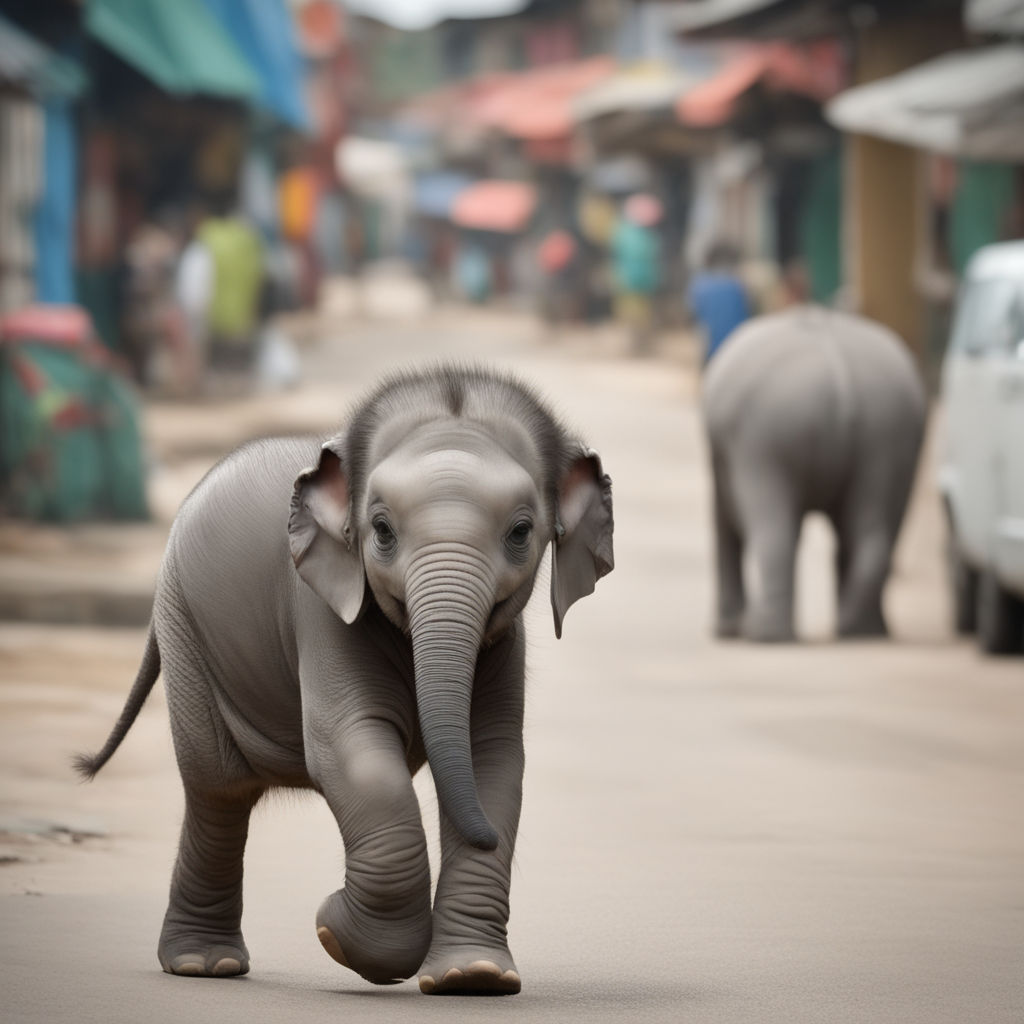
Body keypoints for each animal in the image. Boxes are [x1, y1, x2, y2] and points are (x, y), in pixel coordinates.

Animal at [77, 366, 614, 991]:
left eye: (521, 533)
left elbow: (496, 760)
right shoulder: (321, 610)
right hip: (183, 623)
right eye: (381, 530)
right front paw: (336, 932)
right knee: (216, 787)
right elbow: (350, 748)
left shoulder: (505, 642)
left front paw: (473, 976)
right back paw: (203, 965)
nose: (484, 834)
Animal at [704, 305, 929, 638]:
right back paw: (860, 631)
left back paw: (764, 634)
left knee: (772, 525)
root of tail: (838, 369)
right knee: (873, 528)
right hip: (889, 430)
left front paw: (726, 631)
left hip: (766, 432)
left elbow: (726, 522)